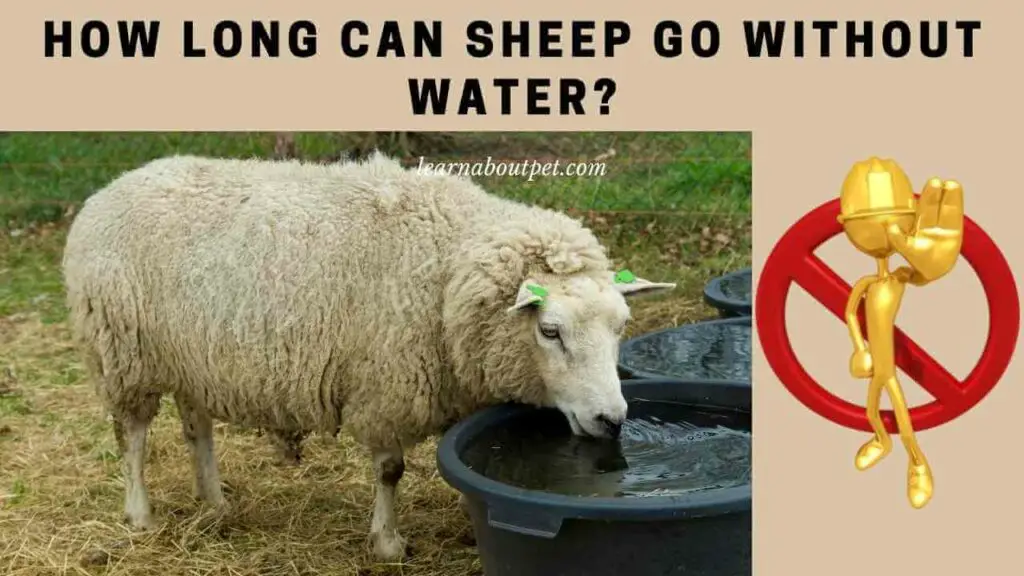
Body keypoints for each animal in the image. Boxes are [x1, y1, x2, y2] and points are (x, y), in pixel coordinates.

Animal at [61, 153, 675, 560]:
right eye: (550, 331)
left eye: (622, 327)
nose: (612, 419)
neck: (448, 270)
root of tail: (113, 185)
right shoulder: (385, 387)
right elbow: (390, 470)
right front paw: (387, 543)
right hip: (123, 353)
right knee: (132, 435)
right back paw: (139, 516)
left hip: (192, 356)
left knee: (197, 429)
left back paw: (214, 503)